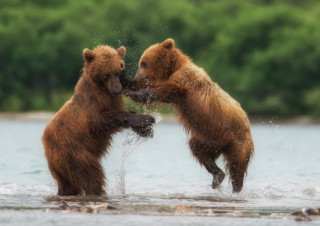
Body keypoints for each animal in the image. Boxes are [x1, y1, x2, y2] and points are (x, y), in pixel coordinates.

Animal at [42, 44, 155, 196]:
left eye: (119, 71)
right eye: (106, 74)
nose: (117, 90)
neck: (103, 89)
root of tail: (46, 145)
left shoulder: (113, 100)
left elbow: (123, 113)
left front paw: (145, 129)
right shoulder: (93, 104)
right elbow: (101, 120)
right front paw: (147, 119)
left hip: (62, 166)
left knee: (68, 184)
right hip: (74, 152)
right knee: (91, 175)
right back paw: (97, 191)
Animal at [124, 38, 254, 192]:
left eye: (143, 63)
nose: (137, 77)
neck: (174, 68)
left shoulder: (185, 82)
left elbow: (164, 90)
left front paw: (135, 93)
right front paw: (126, 84)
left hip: (237, 142)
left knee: (236, 166)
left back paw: (236, 187)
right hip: (208, 139)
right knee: (198, 150)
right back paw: (217, 176)